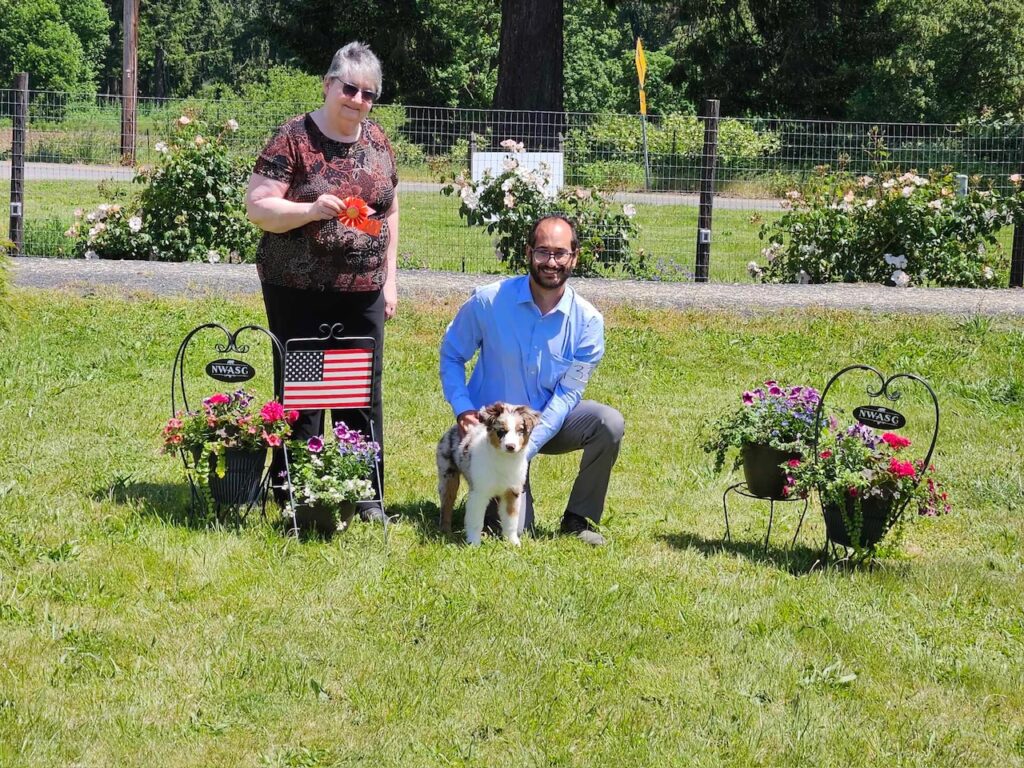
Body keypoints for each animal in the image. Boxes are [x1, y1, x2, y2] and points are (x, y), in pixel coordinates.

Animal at [434, 403, 540, 548]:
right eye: (501, 431)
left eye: (520, 431)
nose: (510, 446)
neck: (504, 460)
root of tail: (452, 429)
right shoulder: (479, 493)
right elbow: (476, 521)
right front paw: (474, 544)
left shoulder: (512, 492)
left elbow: (511, 520)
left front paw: (513, 543)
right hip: (448, 476)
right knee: (446, 505)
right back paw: (446, 532)